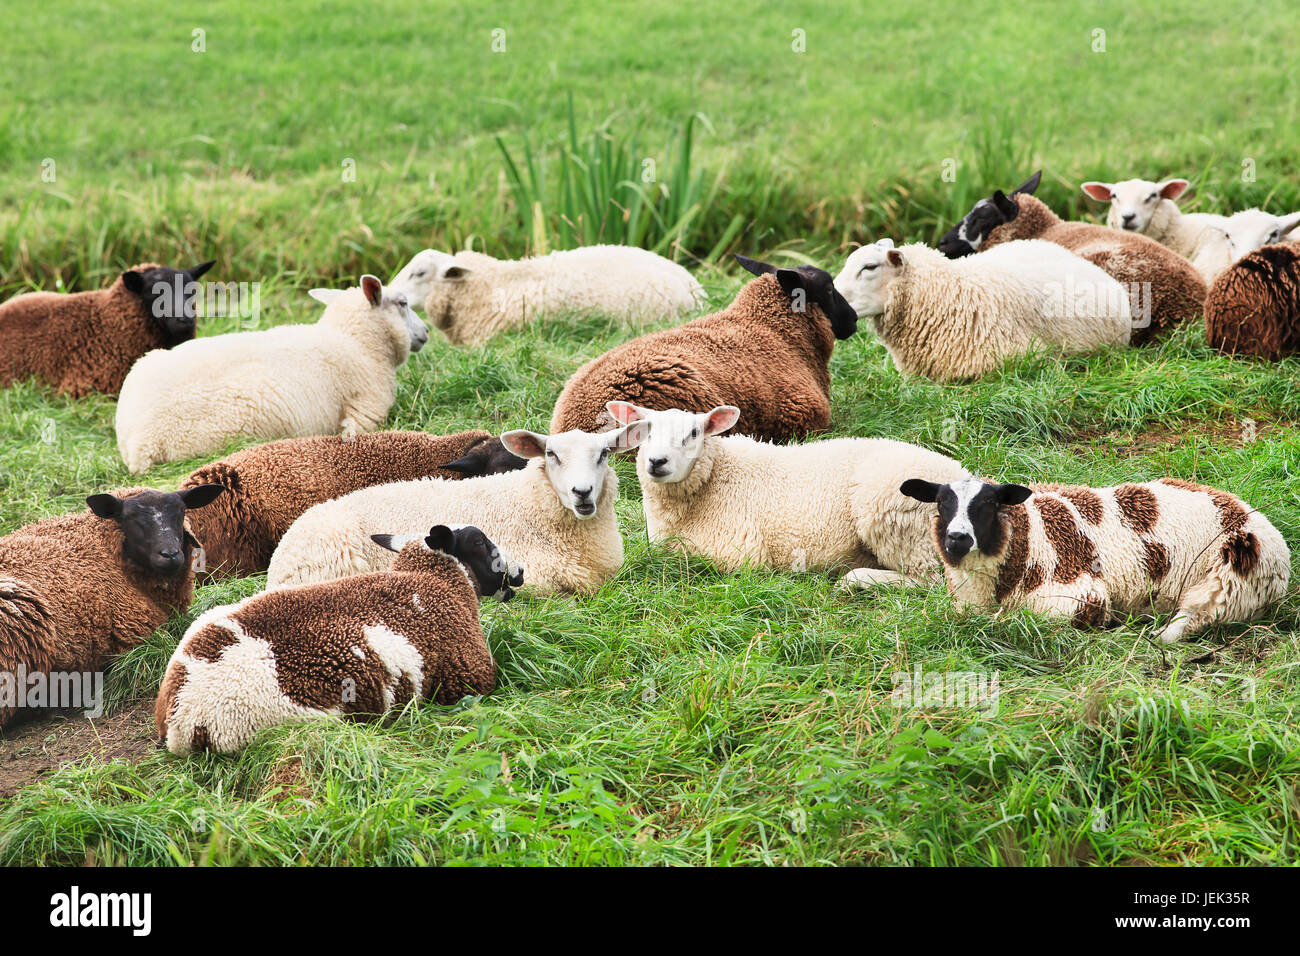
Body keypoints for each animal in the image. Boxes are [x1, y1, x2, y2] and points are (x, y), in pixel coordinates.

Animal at [603, 401, 971, 587]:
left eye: (694, 433)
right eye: (645, 432)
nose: (656, 462)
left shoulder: (739, 555)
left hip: (896, 520)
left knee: (932, 582)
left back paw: (856, 580)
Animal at [899, 476, 1289, 642]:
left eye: (989, 503)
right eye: (941, 502)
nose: (957, 539)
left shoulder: (1081, 594)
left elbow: (1017, 620)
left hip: (1227, 580)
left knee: (1191, 619)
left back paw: (1154, 633)